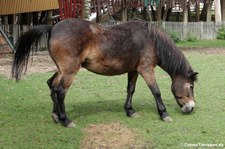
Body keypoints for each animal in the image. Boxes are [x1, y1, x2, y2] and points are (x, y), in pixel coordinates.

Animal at [11, 18, 198, 127]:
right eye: (191, 87)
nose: (190, 108)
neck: (151, 40)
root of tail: (53, 27)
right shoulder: (146, 69)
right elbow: (156, 92)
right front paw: (164, 113)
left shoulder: (134, 70)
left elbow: (131, 90)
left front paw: (130, 111)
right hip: (70, 71)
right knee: (60, 91)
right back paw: (65, 120)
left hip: (61, 70)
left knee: (52, 85)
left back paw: (56, 115)